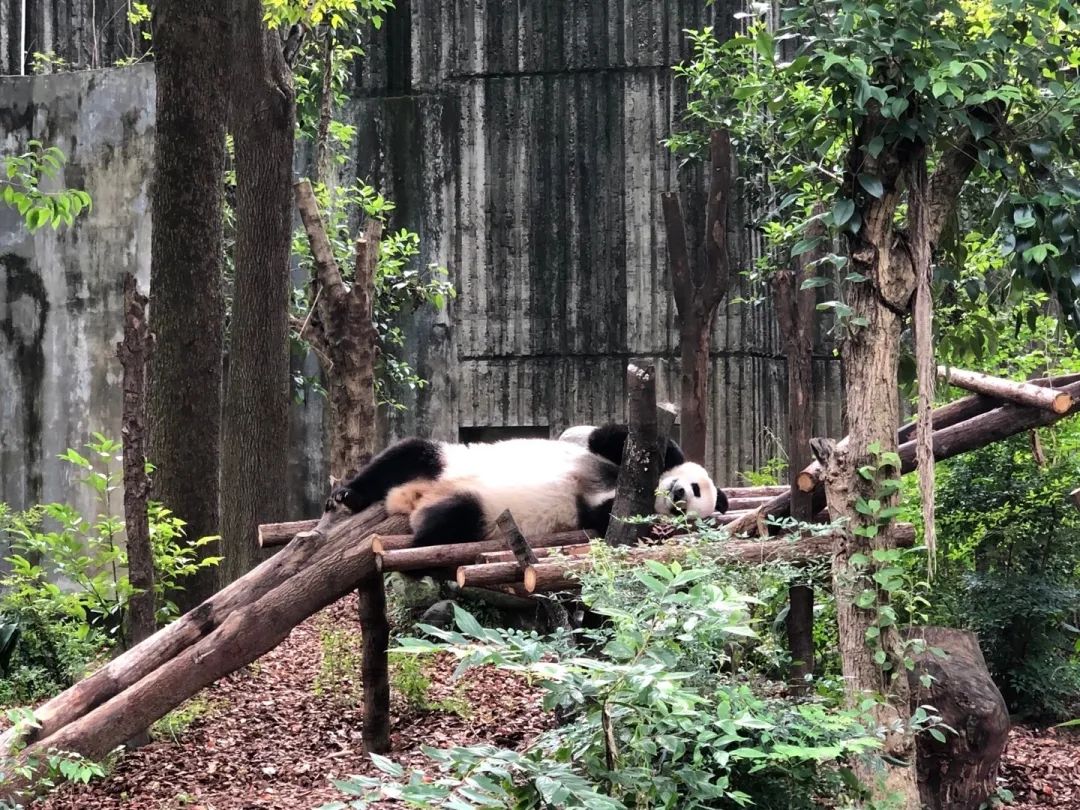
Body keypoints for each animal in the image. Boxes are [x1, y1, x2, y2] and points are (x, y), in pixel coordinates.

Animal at [319, 421, 725, 548]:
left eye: (693, 503)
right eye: (695, 487)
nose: (677, 494)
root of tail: (412, 497)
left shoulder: (596, 510)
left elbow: (605, 516)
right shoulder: (597, 454)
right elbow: (609, 439)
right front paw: (658, 450)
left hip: (480, 510)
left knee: (451, 519)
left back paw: (422, 531)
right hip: (447, 459)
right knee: (408, 452)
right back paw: (349, 495)